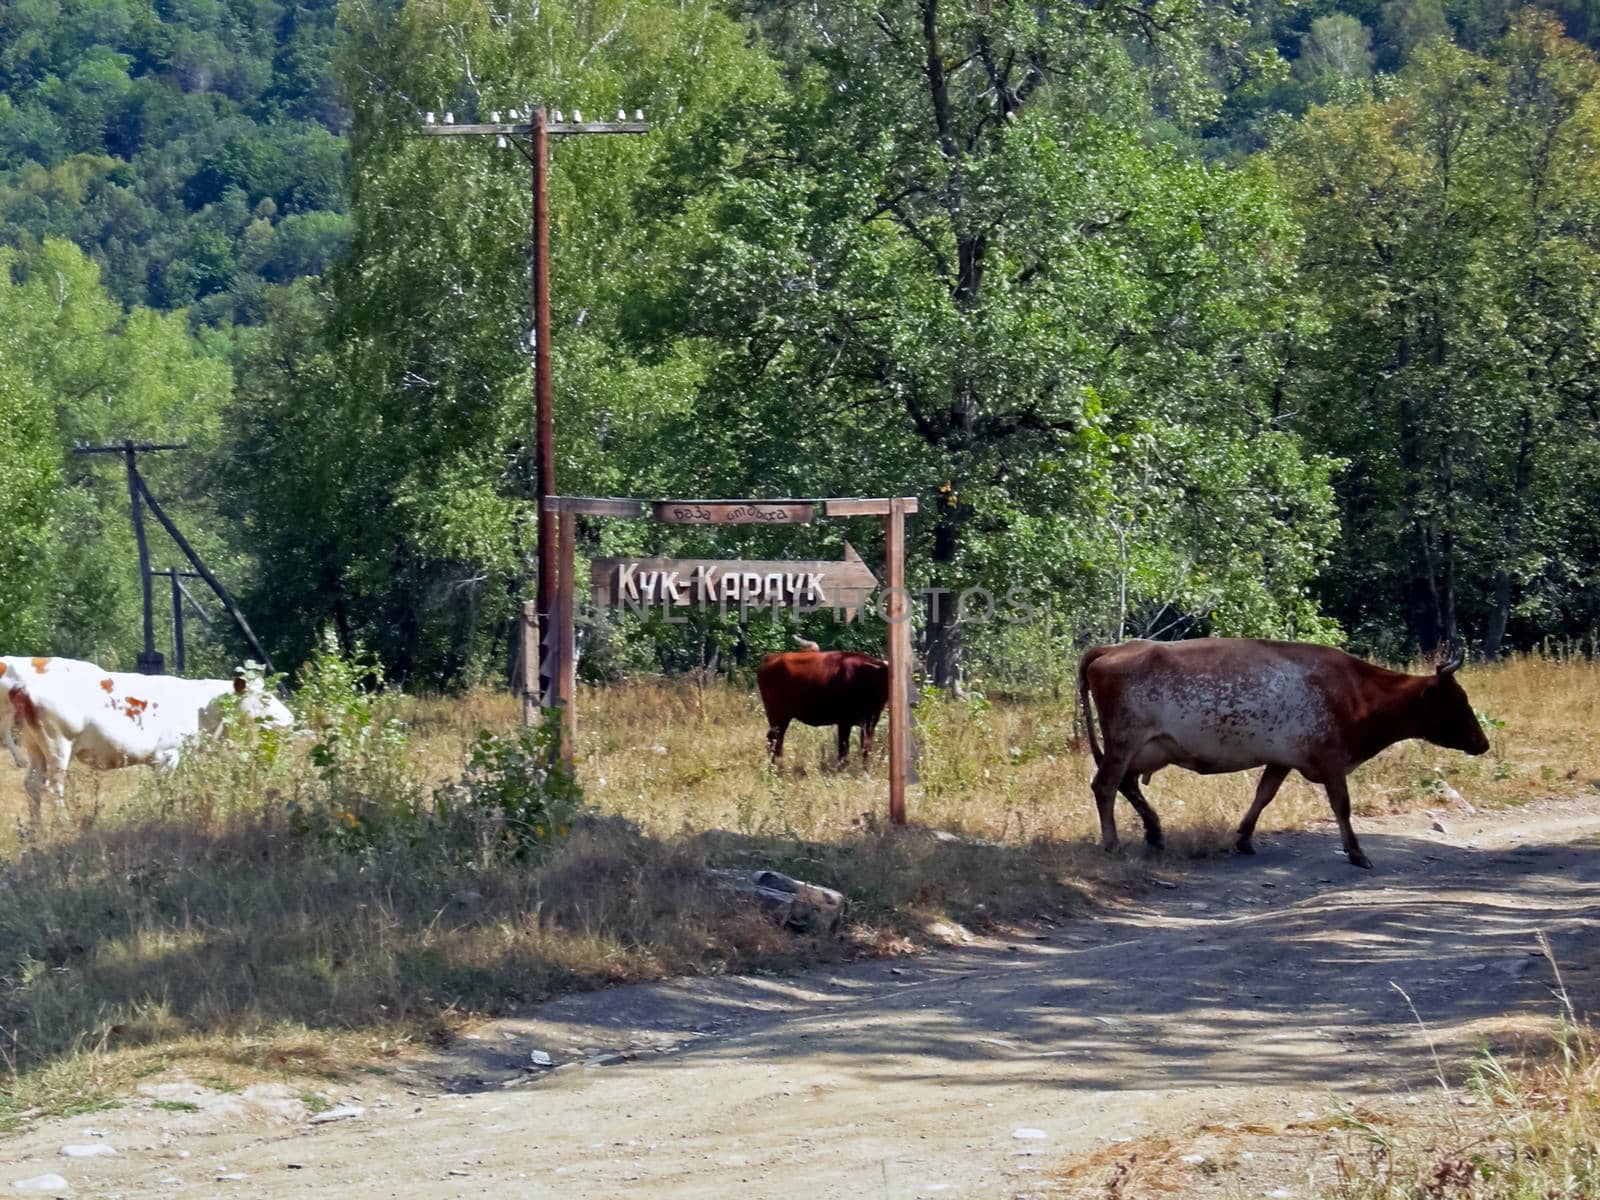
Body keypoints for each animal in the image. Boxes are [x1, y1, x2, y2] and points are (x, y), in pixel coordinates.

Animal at [758, 652, 896, 764]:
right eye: (888, 675)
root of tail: (771, 658)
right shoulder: (844, 722)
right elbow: (843, 749)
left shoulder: (870, 723)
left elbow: (866, 748)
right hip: (778, 715)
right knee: (775, 740)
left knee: (774, 739)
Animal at [1081, 643, 1491, 870]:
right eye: (1458, 702)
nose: (1482, 742)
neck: (1357, 693)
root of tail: (1113, 649)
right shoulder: (1331, 761)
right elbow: (1342, 806)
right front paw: (1357, 853)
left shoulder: (1281, 759)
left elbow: (1263, 795)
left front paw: (1244, 838)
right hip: (1124, 743)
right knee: (1105, 786)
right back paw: (1113, 843)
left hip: (1144, 749)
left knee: (1127, 785)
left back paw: (1154, 831)